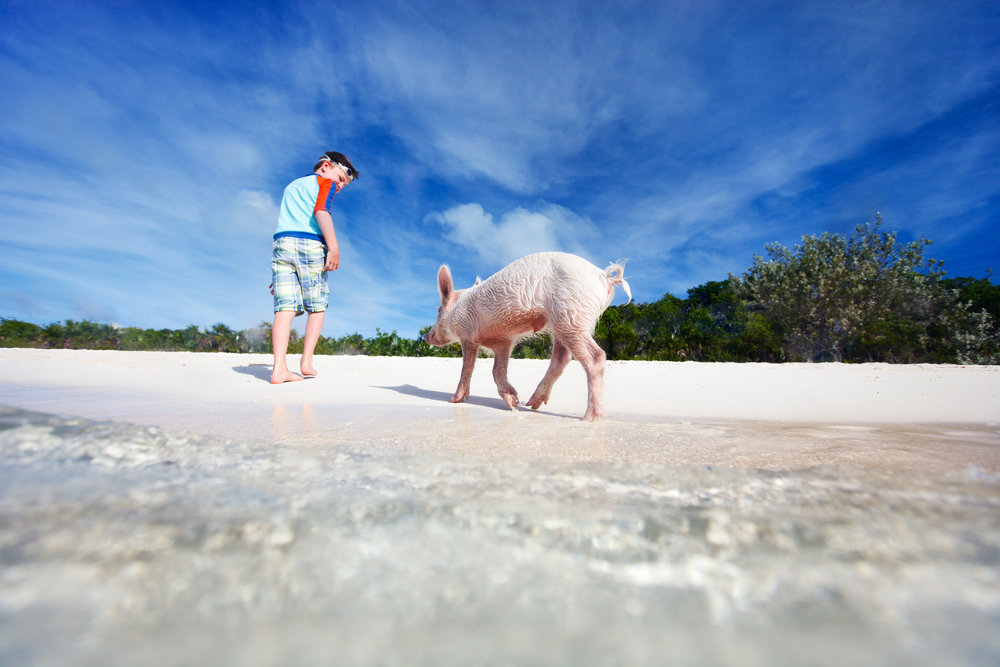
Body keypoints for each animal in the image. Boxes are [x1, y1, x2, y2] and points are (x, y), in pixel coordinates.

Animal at [424, 252, 631, 421]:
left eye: (438, 310)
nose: (426, 336)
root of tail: (605, 278)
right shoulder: (503, 341)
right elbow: (497, 370)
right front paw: (514, 402)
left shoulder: (467, 334)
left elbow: (466, 368)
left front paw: (453, 400)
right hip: (562, 322)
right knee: (562, 358)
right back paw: (532, 405)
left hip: (570, 314)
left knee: (596, 356)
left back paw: (588, 418)